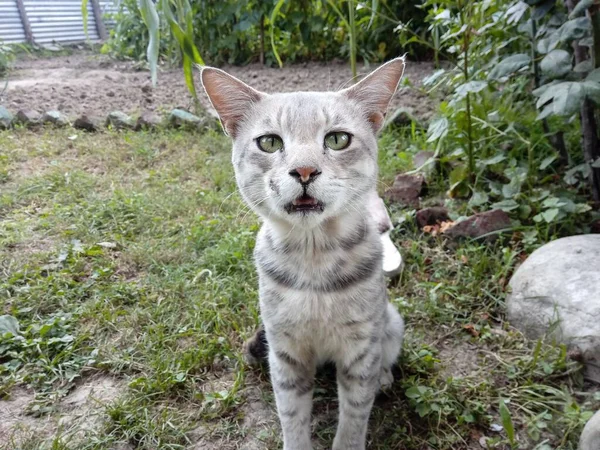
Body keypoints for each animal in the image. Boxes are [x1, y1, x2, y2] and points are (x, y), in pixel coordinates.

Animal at [203, 58, 408, 450]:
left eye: (338, 138)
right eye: (269, 142)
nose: (304, 170)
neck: (314, 262)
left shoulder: (361, 350)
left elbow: (354, 416)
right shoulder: (285, 351)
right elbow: (292, 415)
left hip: (390, 323)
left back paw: (385, 378)